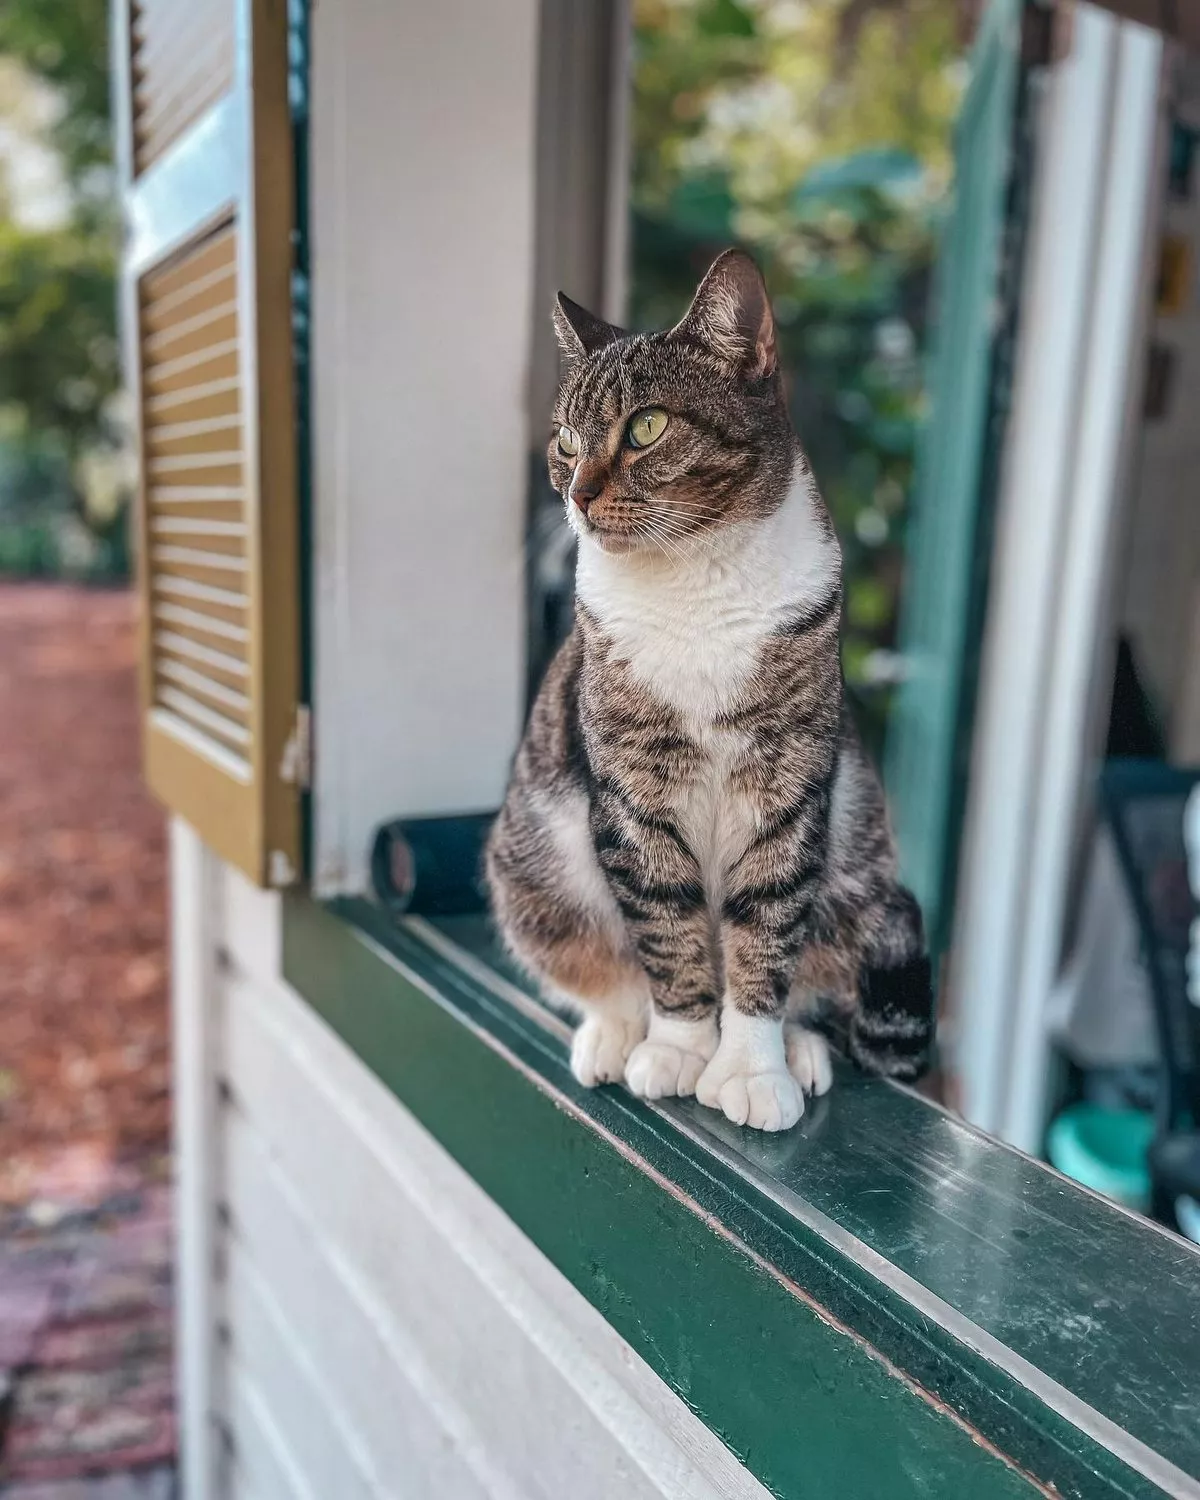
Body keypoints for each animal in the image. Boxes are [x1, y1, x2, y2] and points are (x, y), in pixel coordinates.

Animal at [483, 252, 930, 1128]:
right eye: (565, 440)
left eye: (647, 427)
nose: (576, 494)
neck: (694, 581)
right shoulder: (633, 792)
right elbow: (669, 931)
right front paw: (680, 1050)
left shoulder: (788, 784)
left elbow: (764, 932)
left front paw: (753, 1069)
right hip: (532, 873)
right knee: (601, 971)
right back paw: (614, 1035)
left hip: (860, 873)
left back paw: (799, 1049)